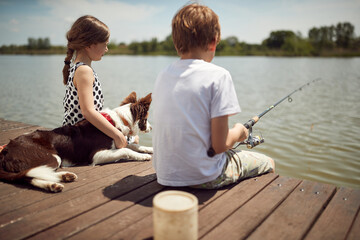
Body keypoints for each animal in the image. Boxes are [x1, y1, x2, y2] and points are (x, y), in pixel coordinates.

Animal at [0, 92, 153, 193]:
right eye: (146, 119)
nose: (151, 128)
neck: (119, 120)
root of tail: (6, 150)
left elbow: (132, 145)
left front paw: (148, 149)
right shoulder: (96, 155)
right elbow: (126, 150)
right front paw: (143, 156)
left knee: (28, 175)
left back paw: (58, 181)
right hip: (53, 157)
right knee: (29, 174)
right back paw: (58, 180)